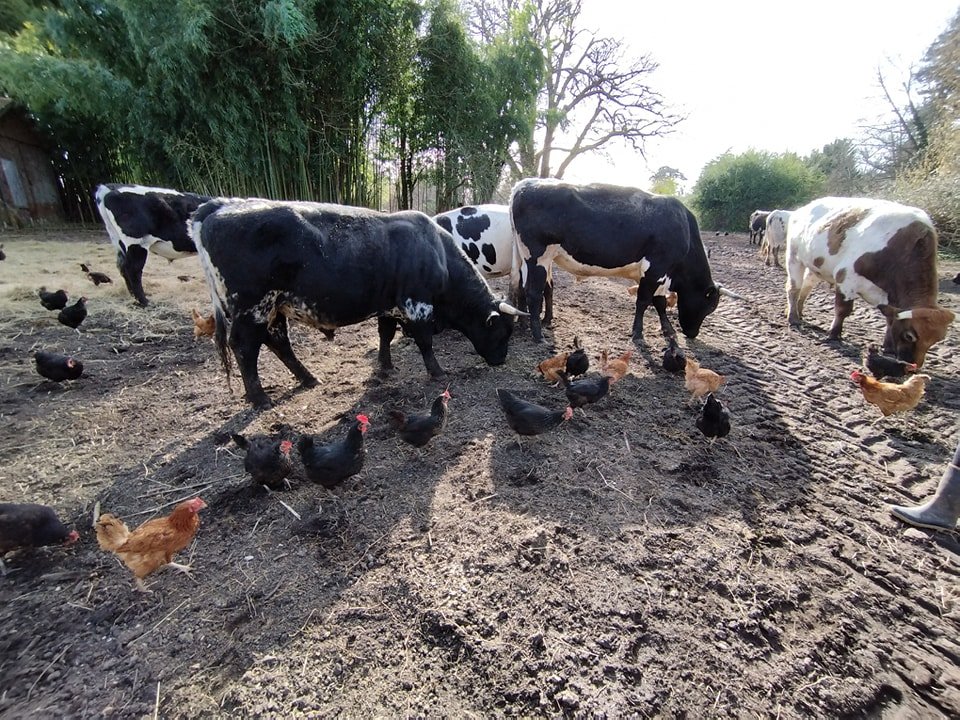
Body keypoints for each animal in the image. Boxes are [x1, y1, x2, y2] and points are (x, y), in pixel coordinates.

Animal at [193, 200, 524, 408]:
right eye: (502, 333)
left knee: (278, 343)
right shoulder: (417, 305)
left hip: (273, 307)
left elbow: (385, 335)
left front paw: (385, 366)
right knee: (245, 348)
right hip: (253, 307)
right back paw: (260, 397)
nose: (501, 360)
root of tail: (218, 207)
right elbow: (425, 342)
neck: (437, 252)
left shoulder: (389, 305)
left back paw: (307, 378)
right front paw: (436, 371)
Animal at [510, 183, 744, 346]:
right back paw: (538, 335)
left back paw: (524, 324)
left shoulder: (661, 275)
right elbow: (643, 301)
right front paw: (638, 334)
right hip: (538, 257)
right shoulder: (656, 269)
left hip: (525, 258)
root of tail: (525, 184)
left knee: (522, 288)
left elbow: (659, 302)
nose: (692, 334)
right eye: (709, 307)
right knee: (533, 293)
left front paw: (668, 330)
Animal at [784, 195, 956, 366]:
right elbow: (843, 310)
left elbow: (890, 318)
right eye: (909, 335)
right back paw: (793, 317)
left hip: (816, 267)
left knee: (806, 287)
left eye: (935, 341)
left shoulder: (890, 298)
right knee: (794, 289)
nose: (913, 365)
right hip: (794, 257)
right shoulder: (846, 277)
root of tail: (804, 208)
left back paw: (799, 311)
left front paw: (888, 347)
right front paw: (834, 334)